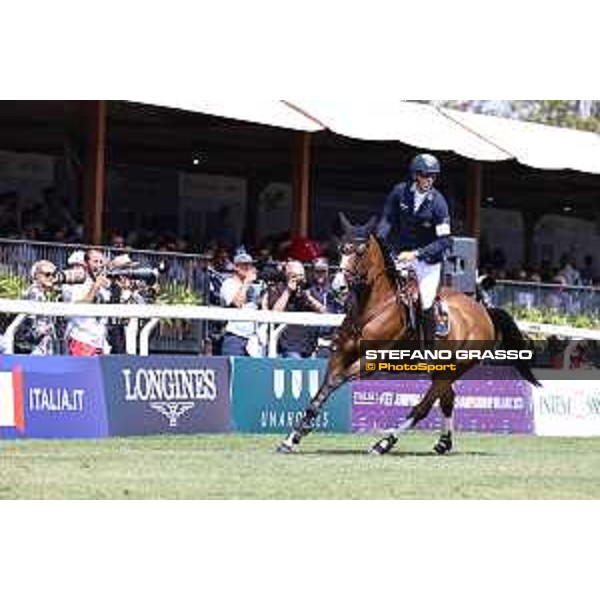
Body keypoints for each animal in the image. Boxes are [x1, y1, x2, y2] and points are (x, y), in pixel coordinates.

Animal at [276, 216, 540, 454]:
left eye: (360, 251)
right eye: (340, 250)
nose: (337, 287)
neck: (372, 308)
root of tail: (484, 311)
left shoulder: (370, 361)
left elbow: (334, 381)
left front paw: (300, 432)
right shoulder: (341, 353)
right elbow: (322, 390)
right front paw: (292, 437)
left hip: (455, 367)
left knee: (425, 406)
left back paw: (385, 442)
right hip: (441, 369)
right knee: (447, 399)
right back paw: (443, 443)